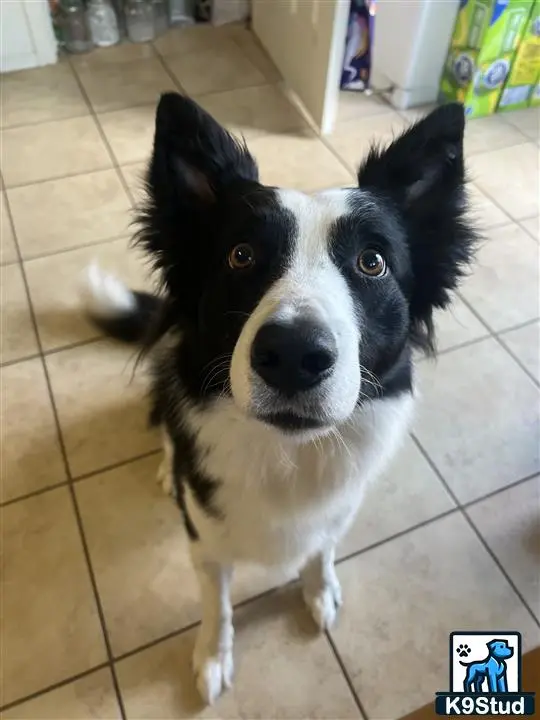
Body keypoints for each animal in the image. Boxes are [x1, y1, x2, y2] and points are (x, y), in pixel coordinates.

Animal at [83, 91, 472, 704]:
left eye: (372, 262)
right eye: (241, 255)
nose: (293, 355)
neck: (288, 456)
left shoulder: (336, 510)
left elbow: (322, 547)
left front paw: (319, 586)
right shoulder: (205, 540)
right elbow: (216, 602)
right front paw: (213, 655)